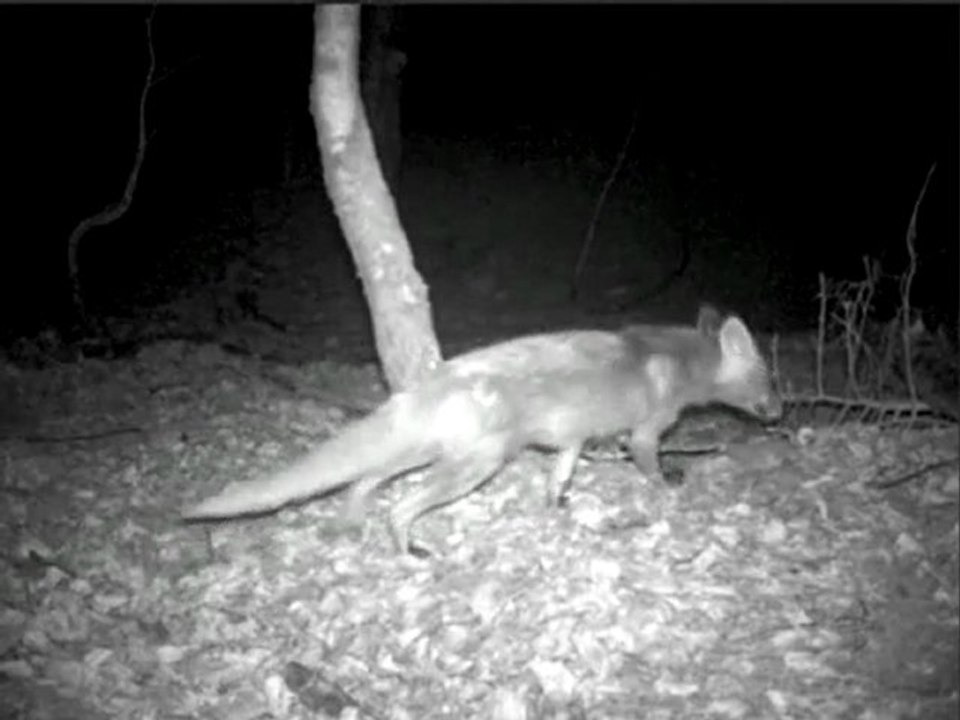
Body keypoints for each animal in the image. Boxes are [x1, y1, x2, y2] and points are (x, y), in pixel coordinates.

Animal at [182, 305, 782, 554]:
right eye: (767, 379)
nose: (780, 413)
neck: (681, 363)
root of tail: (439, 375)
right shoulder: (645, 433)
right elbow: (652, 467)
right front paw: (668, 489)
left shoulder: (572, 438)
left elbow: (560, 476)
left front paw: (555, 506)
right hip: (475, 465)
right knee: (398, 506)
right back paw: (409, 552)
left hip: (431, 453)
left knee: (363, 481)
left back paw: (350, 524)